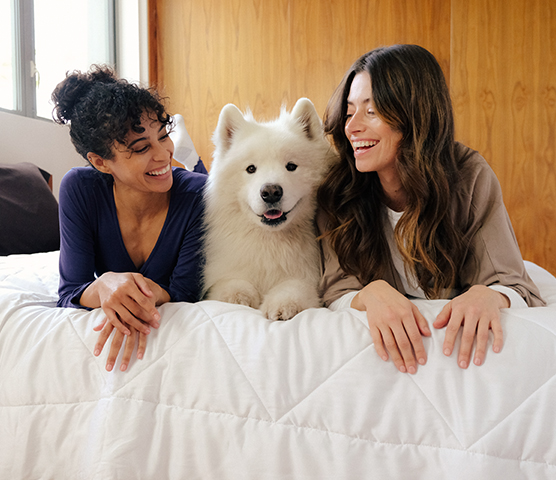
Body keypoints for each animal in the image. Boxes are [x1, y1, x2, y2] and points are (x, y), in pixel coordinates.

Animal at [202, 98, 336, 320]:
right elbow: (230, 284)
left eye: (291, 166)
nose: (271, 192)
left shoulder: (307, 280)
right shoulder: (226, 273)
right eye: (251, 169)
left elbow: (293, 288)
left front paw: (282, 305)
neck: (270, 241)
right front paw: (237, 297)